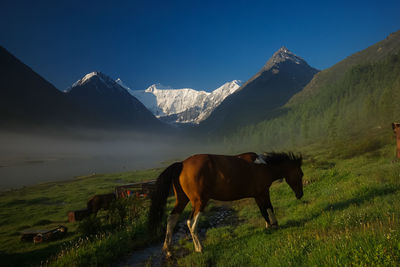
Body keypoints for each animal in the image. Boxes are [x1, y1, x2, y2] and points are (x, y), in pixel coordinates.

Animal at [148, 152, 304, 256]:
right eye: (300, 174)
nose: (300, 194)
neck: (263, 166)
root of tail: (181, 164)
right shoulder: (263, 193)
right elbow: (269, 208)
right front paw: (274, 225)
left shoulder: (257, 196)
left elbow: (263, 211)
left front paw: (268, 226)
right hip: (200, 202)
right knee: (191, 223)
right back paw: (199, 248)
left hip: (182, 200)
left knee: (171, 219)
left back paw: (168, 248)